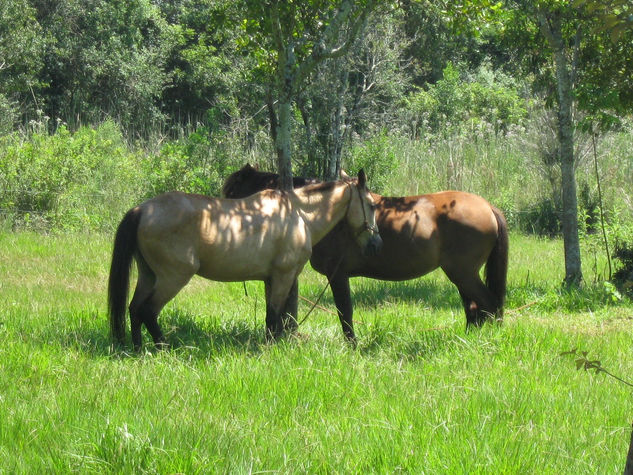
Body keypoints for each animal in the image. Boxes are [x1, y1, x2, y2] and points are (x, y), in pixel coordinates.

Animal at [108, 170, 380, 350]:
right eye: (371, 205)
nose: (376, 244)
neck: (298, 213)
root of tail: (143, 210)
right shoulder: (283, 276)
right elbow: (274, 315)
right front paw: (270, 348)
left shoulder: (271, 279)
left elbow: (273, 316)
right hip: (172, 278)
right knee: (148, 310)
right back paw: (164, 347)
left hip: (148, 275)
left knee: (134, 309)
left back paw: (138, 348)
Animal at [222, 164, 508, 342]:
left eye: (232, 192)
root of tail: (487, 207)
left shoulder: (337, 275)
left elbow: (345, 312)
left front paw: (352, 346)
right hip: (462, 275)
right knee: (475, 309)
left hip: (463, 273)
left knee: (489, 305)